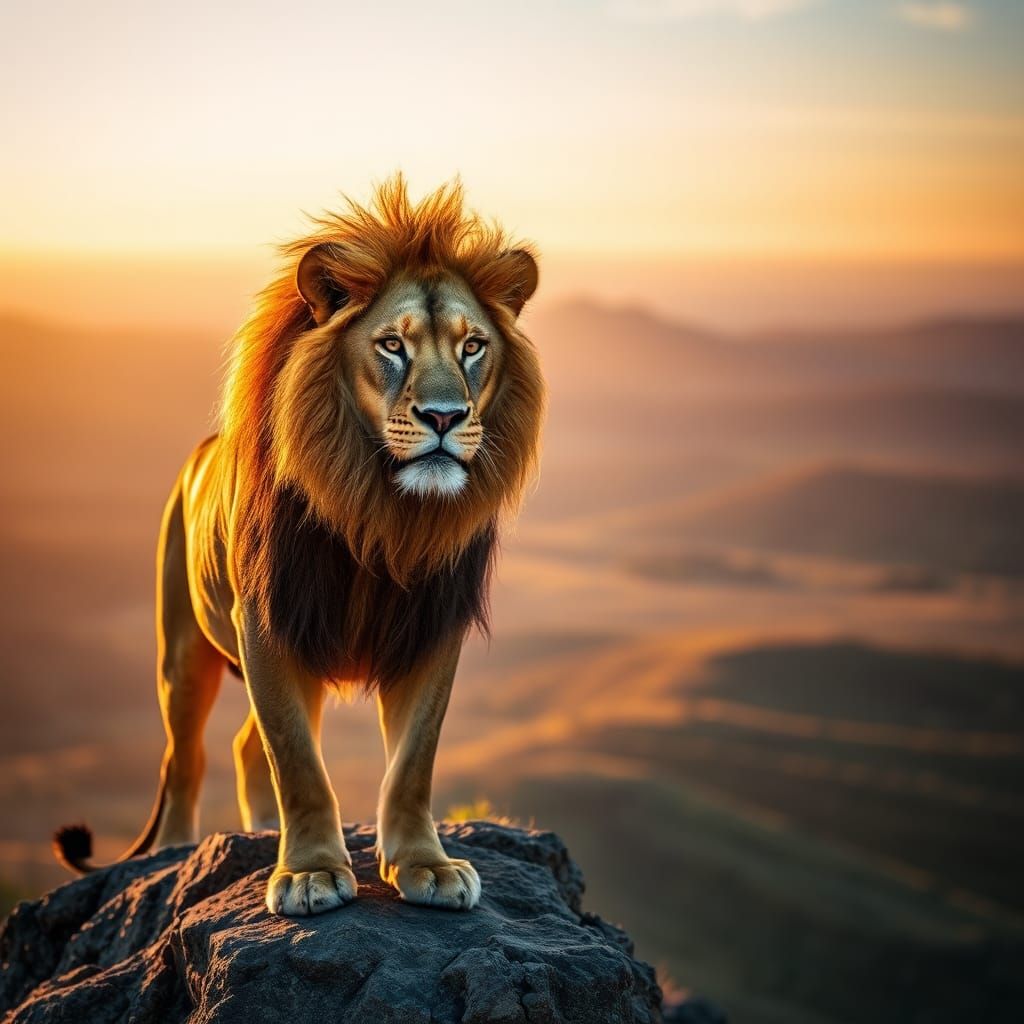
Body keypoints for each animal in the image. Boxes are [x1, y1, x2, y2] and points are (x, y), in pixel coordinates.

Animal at [53, 176, 545, 916]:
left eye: (472, 347)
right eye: (392, 345)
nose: (444, 417)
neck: (381, 508)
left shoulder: (431, 627)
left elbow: (412, 762)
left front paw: (425, 866)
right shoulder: (269, 622)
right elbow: (297, 761)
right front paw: (310, 874)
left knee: (241, 746)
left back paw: (259, 831)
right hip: (182, 652)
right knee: (187, 757)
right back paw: (176, 849)